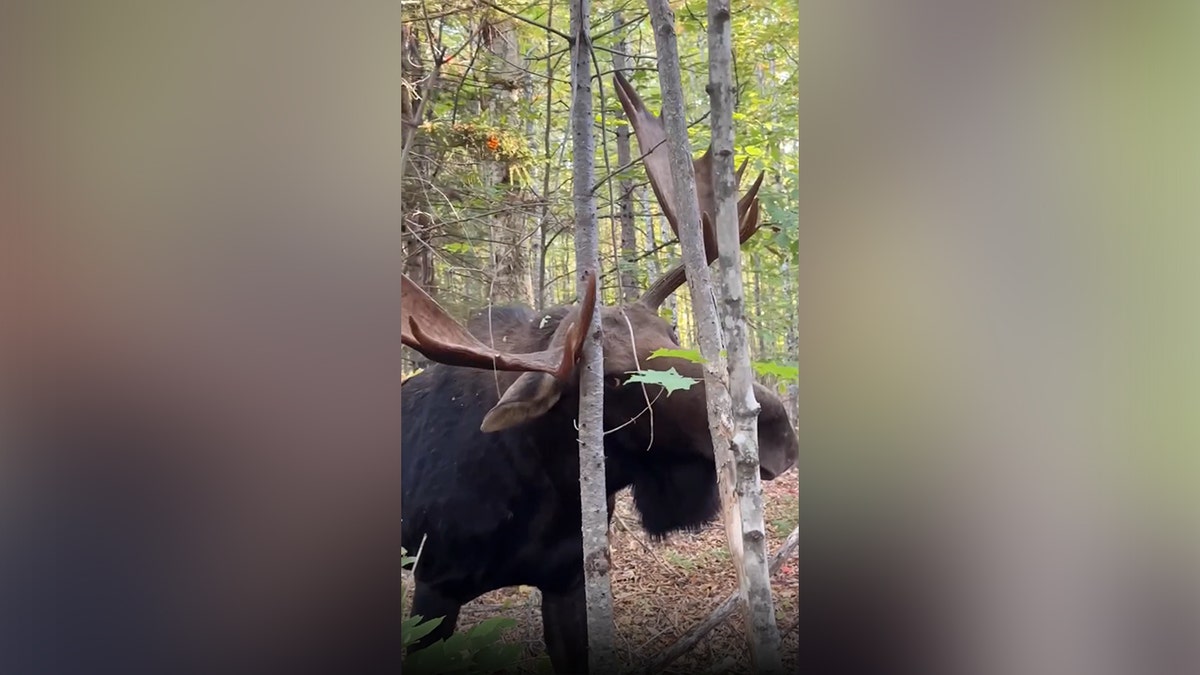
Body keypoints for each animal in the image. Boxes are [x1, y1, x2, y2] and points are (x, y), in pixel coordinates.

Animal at [398, 70, 801, 667]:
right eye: (612, 379)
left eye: (674, 334)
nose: (773, 425)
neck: (545, 489)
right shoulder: (434, 585)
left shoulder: (570, 582)